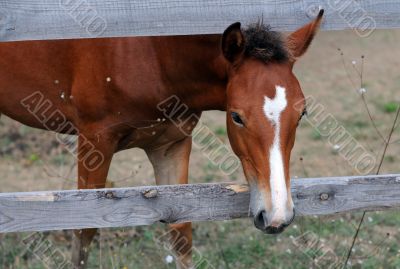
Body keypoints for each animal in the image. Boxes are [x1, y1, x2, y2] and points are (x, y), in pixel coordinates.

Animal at [0, 11, 324, 268]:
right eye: (236, 117)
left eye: (302, 114)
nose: (277, 216)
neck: (151, 52)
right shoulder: (95, 141)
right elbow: (84, 229)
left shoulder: (171, 145)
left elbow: (181, 230)